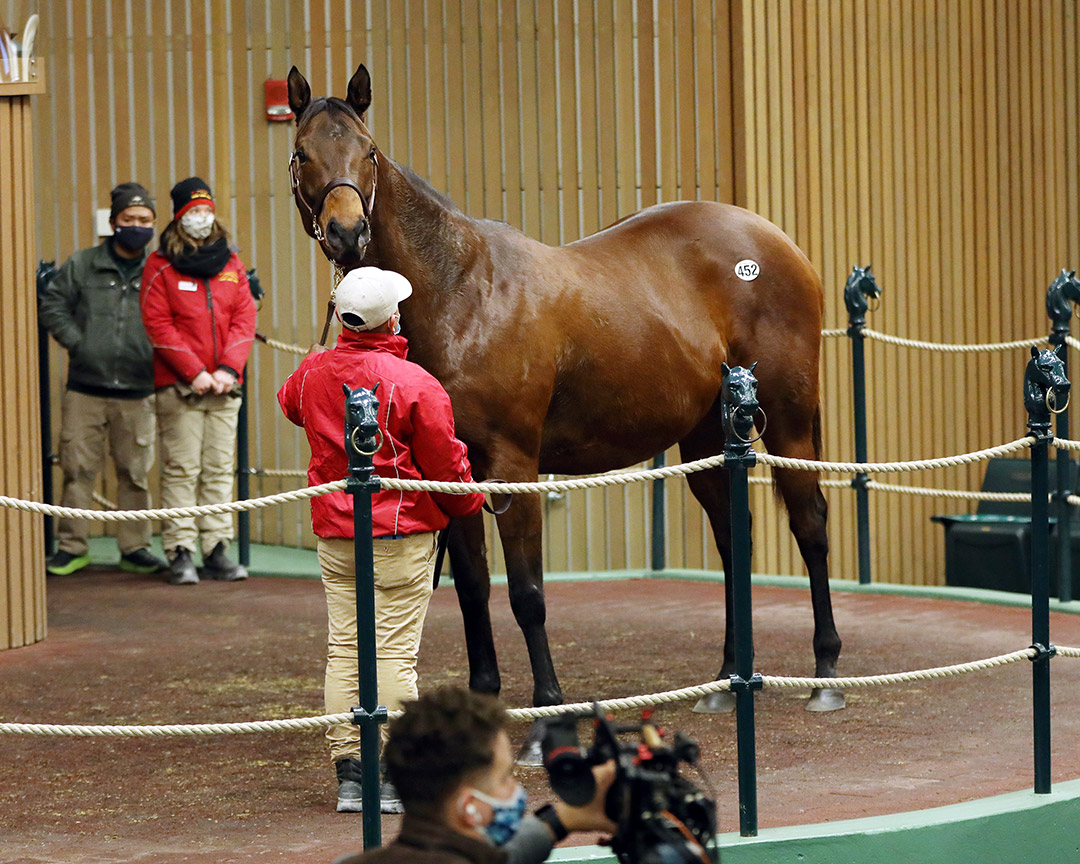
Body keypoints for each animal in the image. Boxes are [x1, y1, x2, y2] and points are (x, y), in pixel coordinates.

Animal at [285, 64, 844, 740]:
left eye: (368, 151)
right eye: (302, 154)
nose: (348, 233)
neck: (460, 290)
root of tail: (774, 241)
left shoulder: (513, 466)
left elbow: (528, 593)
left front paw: (548, 713)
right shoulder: (453, 470)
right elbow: (473, 586)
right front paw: (485, 696)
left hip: (788, 422)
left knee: (810, 524)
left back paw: (826, 673)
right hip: (710, 439)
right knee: (734, 540)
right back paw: (726, 679)